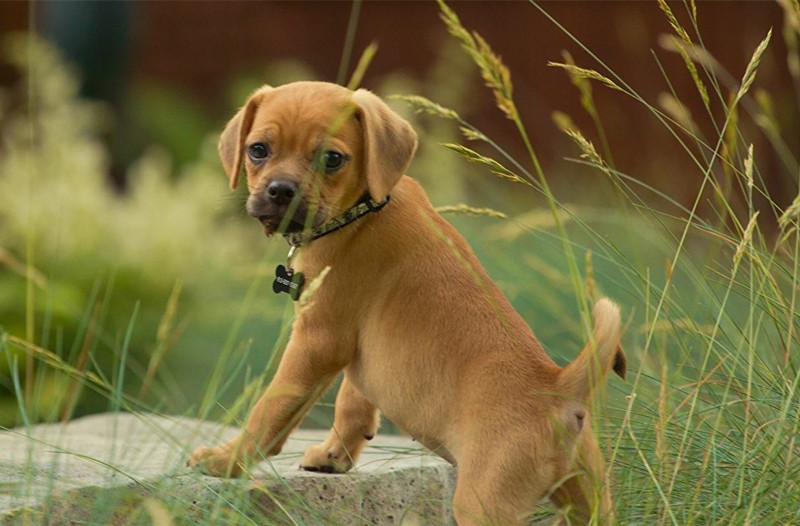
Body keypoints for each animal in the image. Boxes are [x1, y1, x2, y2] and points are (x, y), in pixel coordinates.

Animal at [191, 80, 628, 524]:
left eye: (332, 158)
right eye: (258, 150)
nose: (281, 191)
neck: (364, 209)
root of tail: (558, 391)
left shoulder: (317, 342)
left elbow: (272, 407)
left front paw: (227, 460)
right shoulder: (358, 353)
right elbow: (352, 404)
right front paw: (333, 456)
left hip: (484, 504)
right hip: (590, 500)